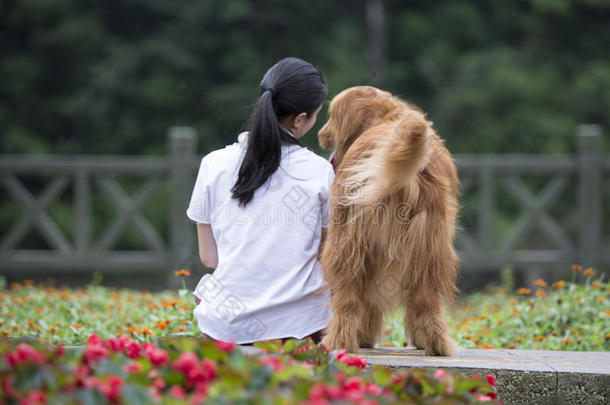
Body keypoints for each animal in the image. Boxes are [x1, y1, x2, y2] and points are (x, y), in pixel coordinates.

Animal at [318, 84, 456, 354]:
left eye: (331, 117)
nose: (320, 134)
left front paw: (364, 338)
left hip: (348, 244)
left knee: (347, 300)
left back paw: (338, 342)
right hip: (429, 248)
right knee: (425, 301)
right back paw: (435, 344)